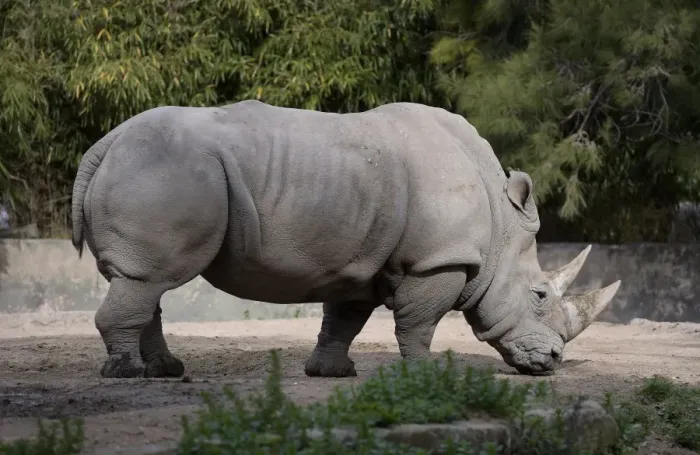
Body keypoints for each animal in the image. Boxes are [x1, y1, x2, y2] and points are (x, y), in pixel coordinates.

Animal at [70, 100, 620, 378]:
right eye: (540, 295)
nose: (553, 363)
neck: (499, 226)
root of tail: (105, 143)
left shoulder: (359, 262)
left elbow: (344, 319)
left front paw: (331, 373)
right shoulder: (438, 260)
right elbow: (419, 322)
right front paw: (426, 375)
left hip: (154, 168)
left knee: (146, 283)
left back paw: (166, 370)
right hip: (167, 170)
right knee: (150, 277)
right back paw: (127, 374)